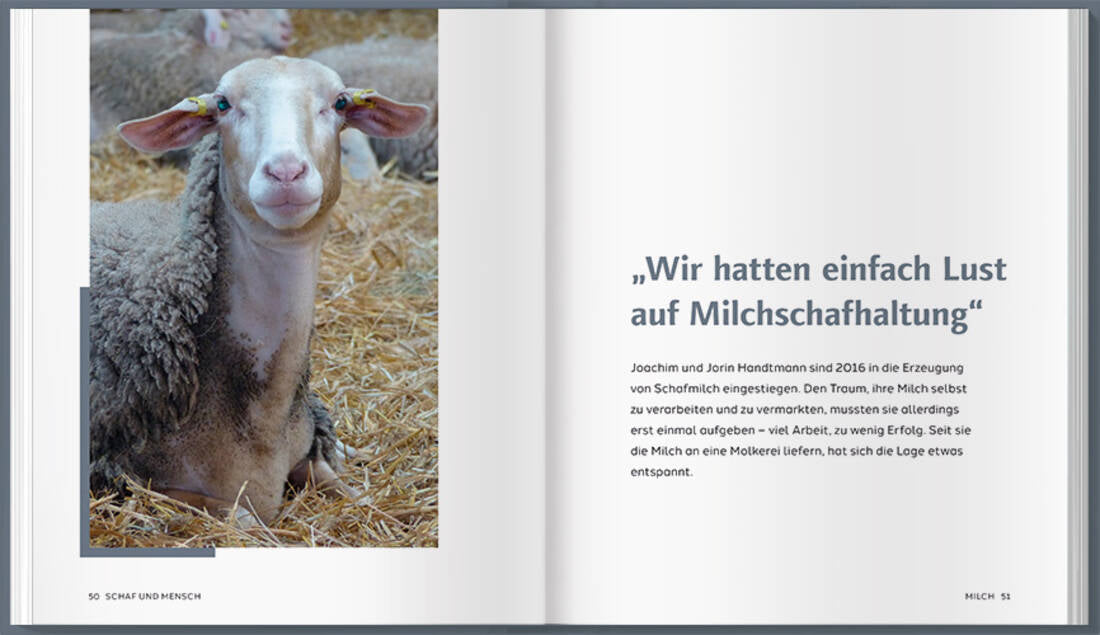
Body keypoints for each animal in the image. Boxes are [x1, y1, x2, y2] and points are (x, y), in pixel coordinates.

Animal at [89, 56, 430, 525]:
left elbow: (358, 497)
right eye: (223, 104)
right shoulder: (137, 481)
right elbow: (249, 522)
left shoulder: (307, 453)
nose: (285, 172)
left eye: (340, 103)